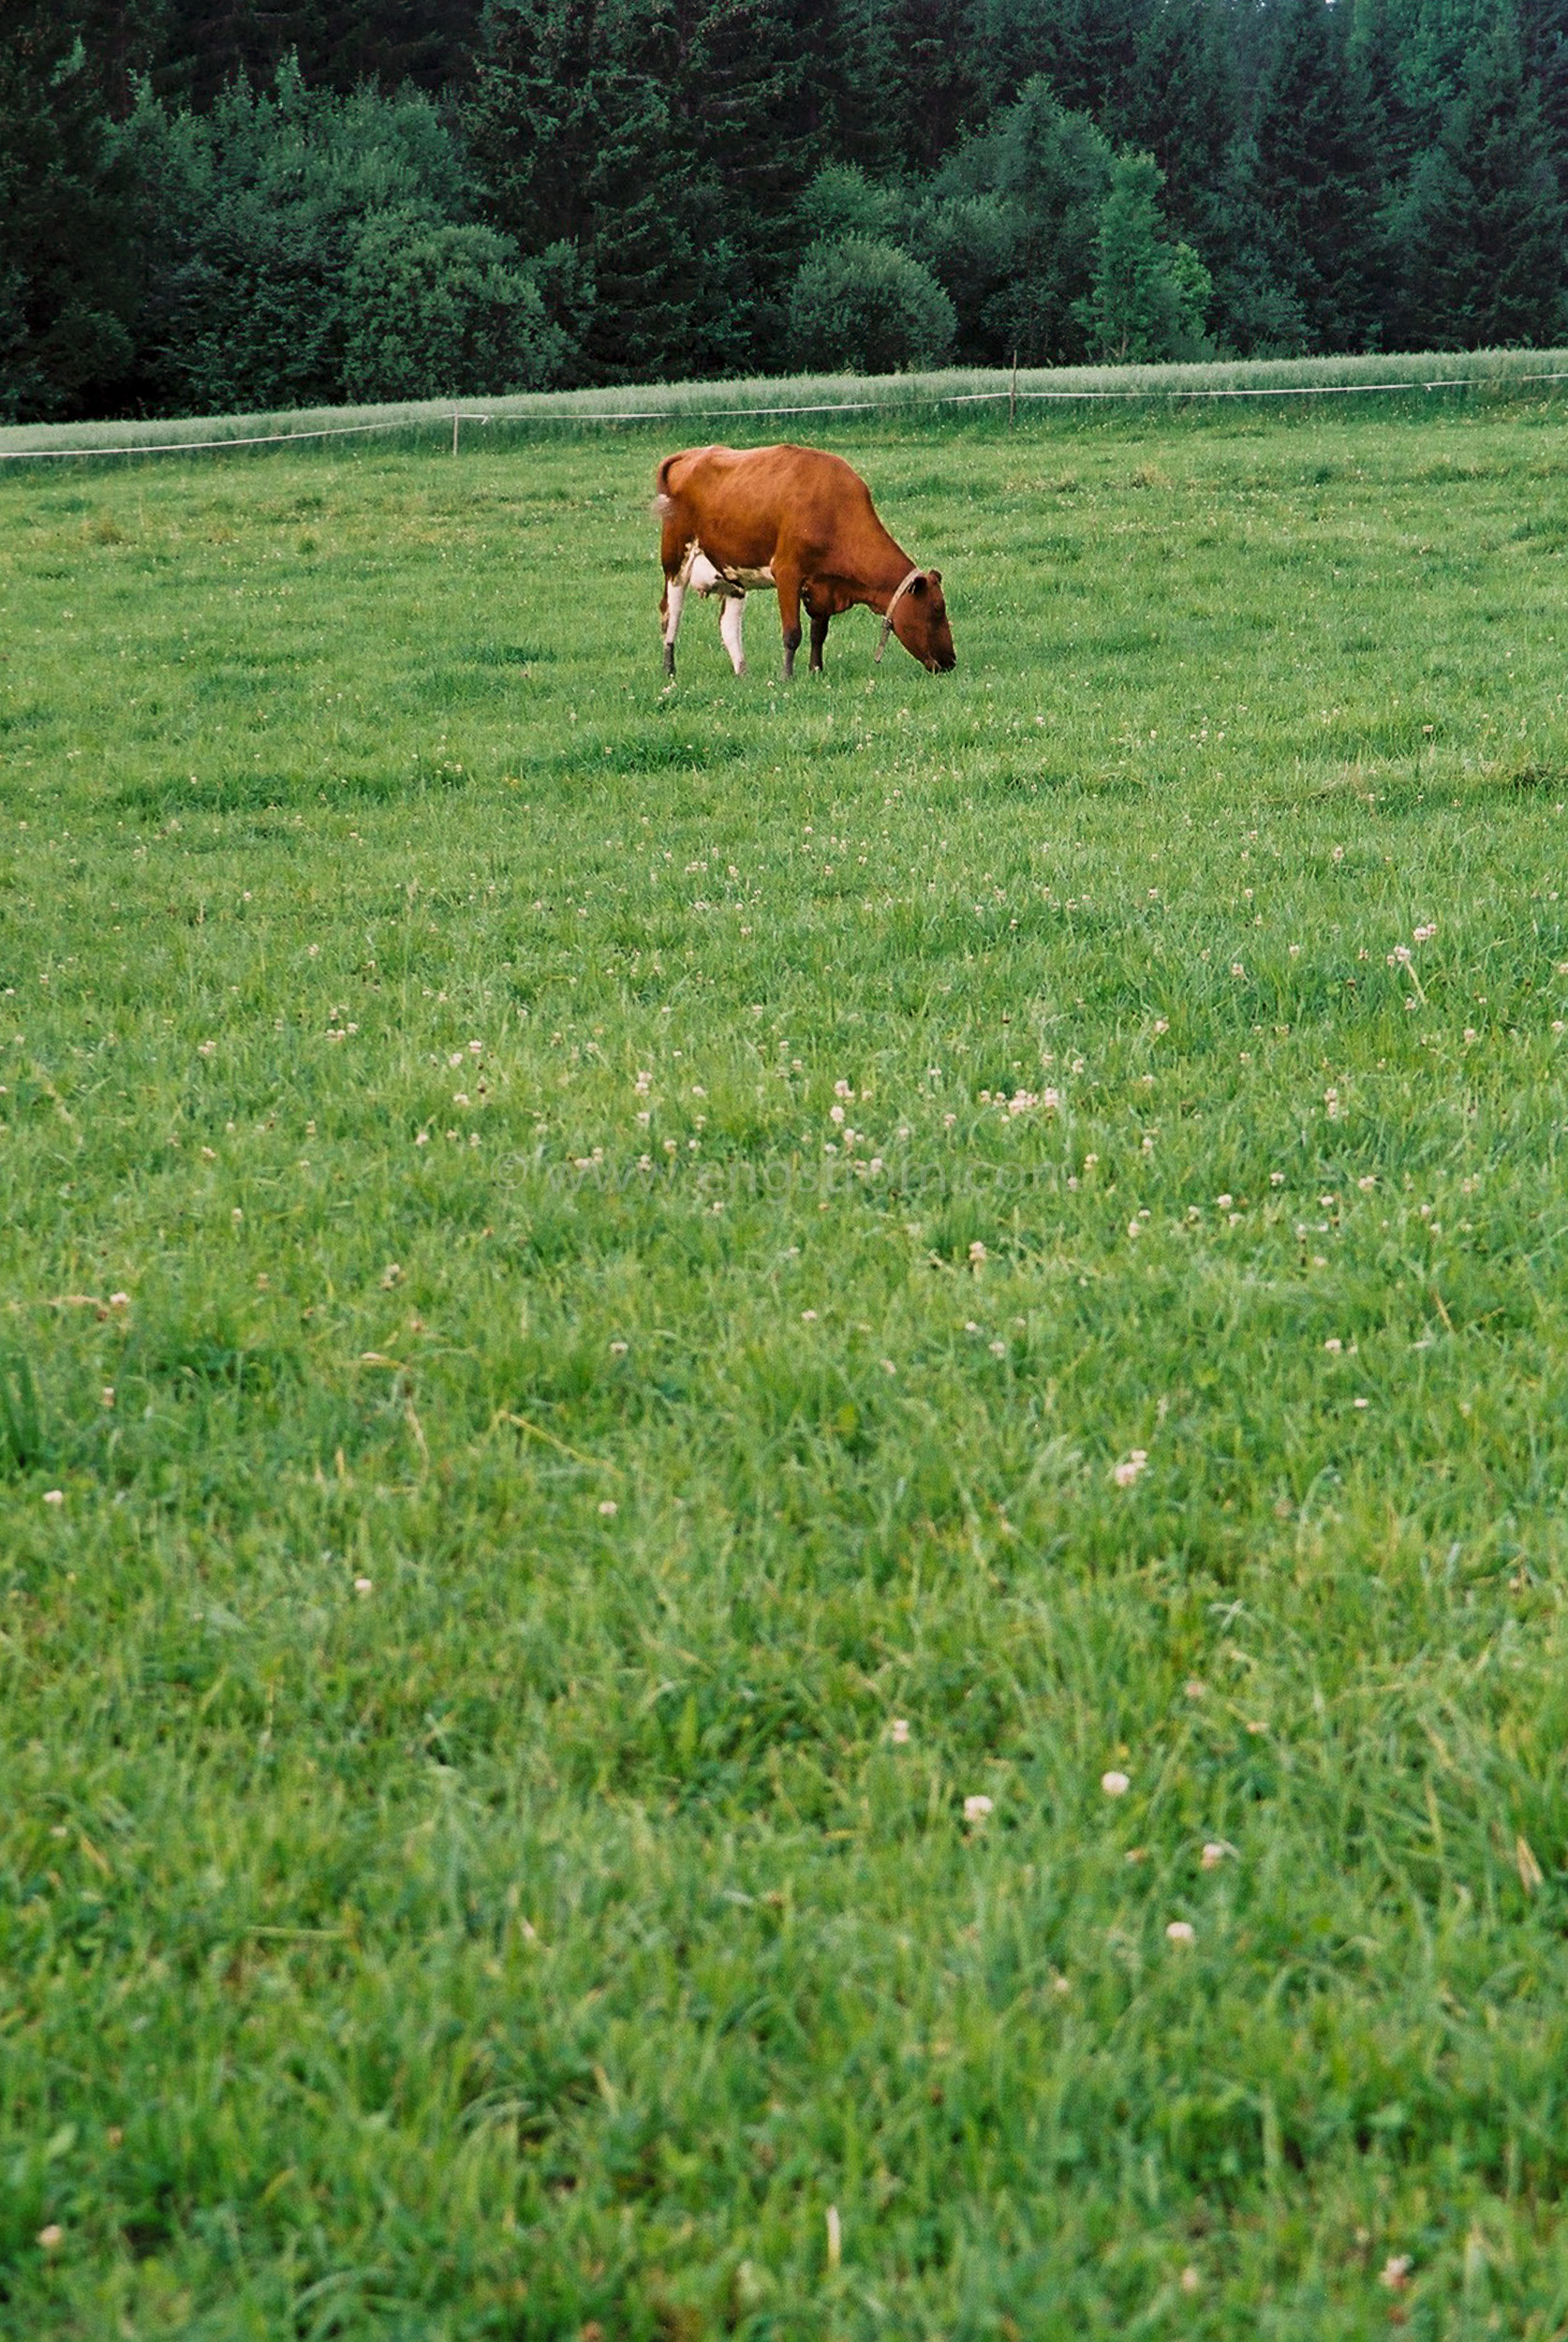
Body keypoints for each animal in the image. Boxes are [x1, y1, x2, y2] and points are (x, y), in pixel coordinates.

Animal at [655, 440, 959, 684]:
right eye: (936, 609)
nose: (951, 661)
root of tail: (691, 454)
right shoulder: (787, 573)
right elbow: (793, 633)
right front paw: (787, 676)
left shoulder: (822, 585)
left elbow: (818, 632)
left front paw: (816, 670)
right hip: (675, 560)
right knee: (671, 614)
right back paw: (669, 670)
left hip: (732, 575)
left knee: (729, 625)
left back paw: (743, 673)